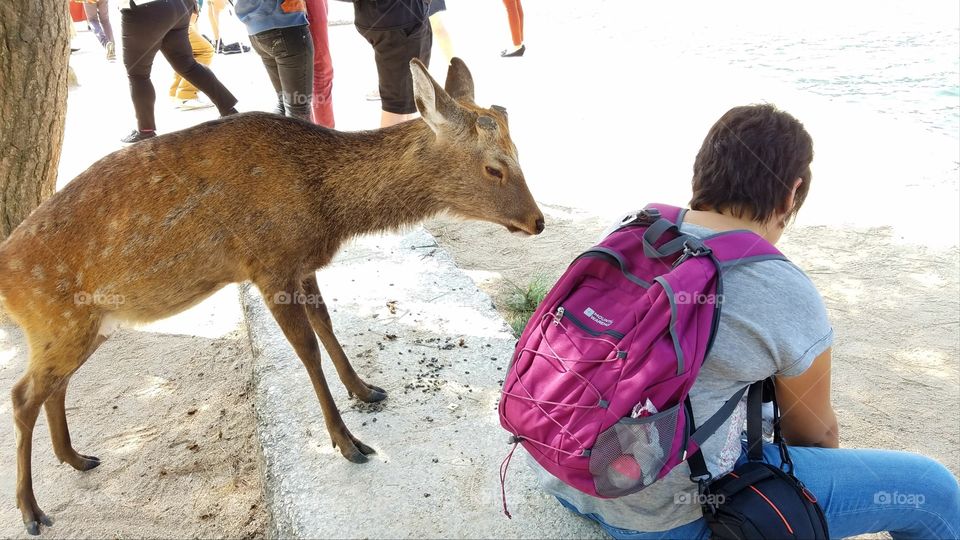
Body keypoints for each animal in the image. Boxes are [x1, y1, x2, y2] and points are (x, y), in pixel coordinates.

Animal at [0, 57, 544, 532]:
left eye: (520, 153)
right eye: (495, 167)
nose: (539, 221)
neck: (326, 207)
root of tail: (7, 274)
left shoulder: (302, 265)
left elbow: (327, 324)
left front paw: (365, 389)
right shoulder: (268, 265)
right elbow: (306, 349)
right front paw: (348, 442)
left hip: (89, 326)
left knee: (53, 385)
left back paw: (76, 457)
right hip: (56, 319)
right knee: (22, 394)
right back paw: (32, 510)